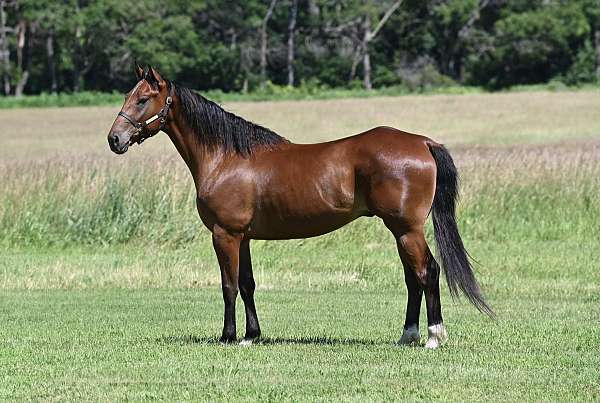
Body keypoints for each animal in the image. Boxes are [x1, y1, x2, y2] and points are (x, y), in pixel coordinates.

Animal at [108, 64, 492, 348]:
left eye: (143, 99)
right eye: (128, 96)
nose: (115, 139)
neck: (226, 158)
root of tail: (423, 142)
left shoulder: (225, 235)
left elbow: (228, 286)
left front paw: (228, 337)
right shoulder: (244, 237)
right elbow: (247, 284)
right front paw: (251, 336)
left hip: (407, 229)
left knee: (428, 272)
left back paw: (433, 337)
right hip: (400, 231)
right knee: (413, 278)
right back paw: (408, 335)